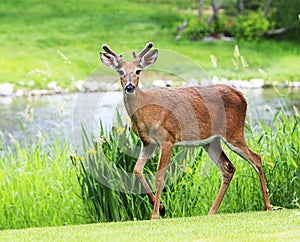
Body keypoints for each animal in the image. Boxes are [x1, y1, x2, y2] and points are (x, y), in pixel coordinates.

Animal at [100, 41, 272, 219]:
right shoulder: (148, 143)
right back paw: (211, 211)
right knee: (228, 167)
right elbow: (137, 170)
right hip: (211, 142)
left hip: (234, 132)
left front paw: (155, 214)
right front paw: (162, 208)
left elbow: (159, 177)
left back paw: (268, 206)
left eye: (138, 71)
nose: (129, 86)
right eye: (120, 71)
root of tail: (242, 96)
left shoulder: (167, 138)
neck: (145, 110)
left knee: (256, 158)